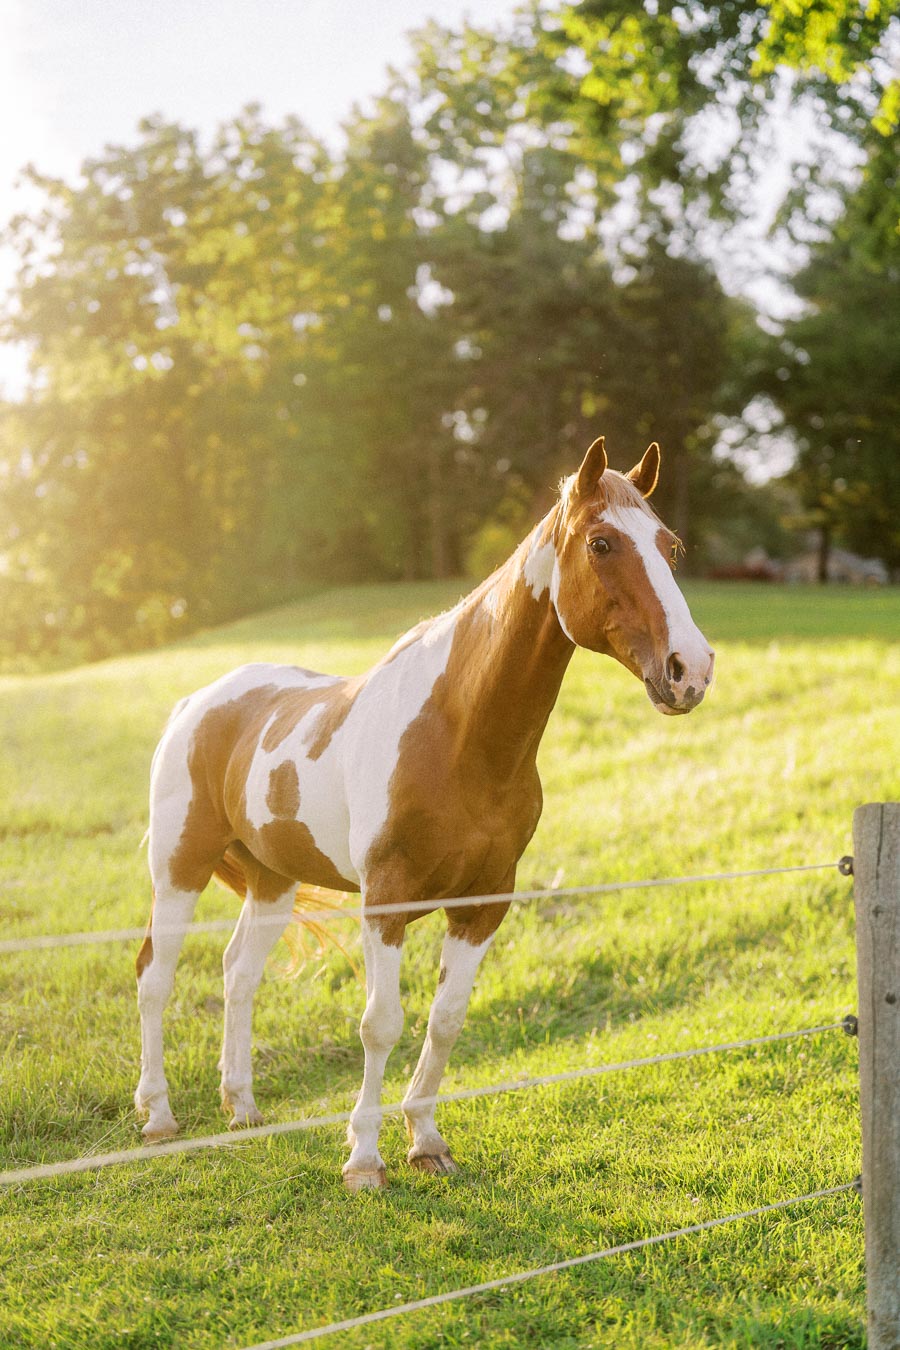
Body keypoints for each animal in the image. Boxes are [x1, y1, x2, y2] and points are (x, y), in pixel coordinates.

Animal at [135, 435, 714, 1190]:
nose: (690, 670)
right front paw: (363, 1159)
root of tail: (196, 703)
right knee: (156, 974)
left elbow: (446, 1020)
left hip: (272, 879)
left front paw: (427, 1141)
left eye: (672, 547)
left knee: (239, 974)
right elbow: (381, 1023)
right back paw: (158, 1116)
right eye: (603, 543)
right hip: (181, 865)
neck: (458, 735)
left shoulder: (484, 904)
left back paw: (242, 1107)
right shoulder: (386, 899)